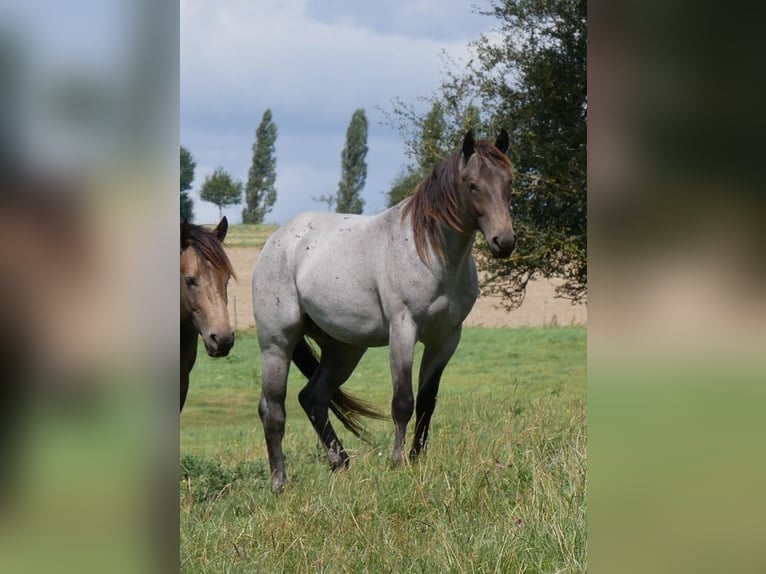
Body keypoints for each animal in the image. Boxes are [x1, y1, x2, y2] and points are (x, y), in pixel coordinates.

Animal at [255, 130, 520, 490]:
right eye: (473, 184)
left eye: (509, 181)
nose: (504, 242)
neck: (431, 251)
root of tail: (277, 241)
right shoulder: (404, 329)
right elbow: (403, 401)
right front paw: (398, 462)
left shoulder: (445, 339)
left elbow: (426, 401)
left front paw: (418, 458)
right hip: (277, 344)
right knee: (273, 410)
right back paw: (280, 482)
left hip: (343, 350)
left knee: (313, 398)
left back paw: (340, 463)